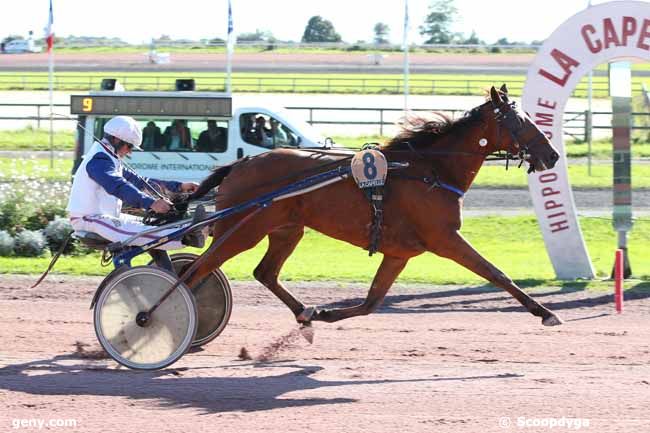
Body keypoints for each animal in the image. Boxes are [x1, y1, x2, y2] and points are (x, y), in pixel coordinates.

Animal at [187, 85, 560, 324]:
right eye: (519, 121)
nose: (553, 155)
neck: (430, 170)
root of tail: (240, 163)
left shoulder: (399, 253)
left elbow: (371, 302)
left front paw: (325, 313)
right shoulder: (445, 238)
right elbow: (496, 273)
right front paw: (546, 313)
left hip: (286, 229)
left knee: (264, 272)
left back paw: (303, 313)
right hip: (242, 230)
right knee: (196, 270)